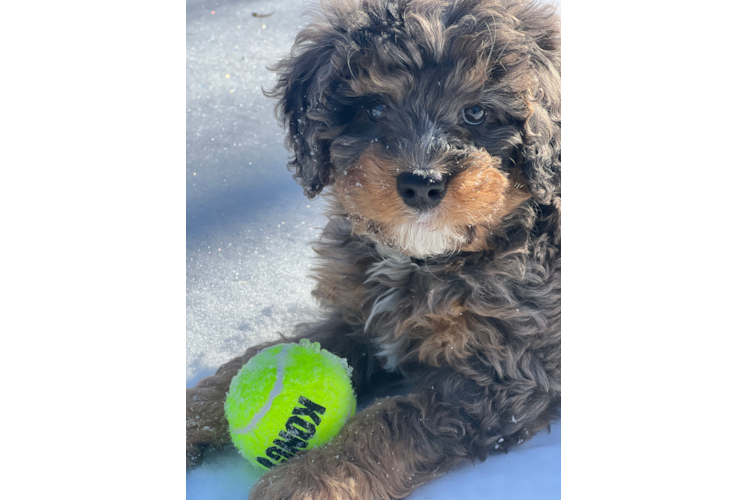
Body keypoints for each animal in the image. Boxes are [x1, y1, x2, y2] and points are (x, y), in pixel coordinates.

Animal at [187, 1, 560, 498]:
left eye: (477, 113)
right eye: (375, 107)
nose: (422, 184)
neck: (420, 260)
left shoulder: (504, 377)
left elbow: (392, 422)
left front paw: (306, 479)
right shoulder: (356, 316)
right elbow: (258, 358)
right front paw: (194, 412)